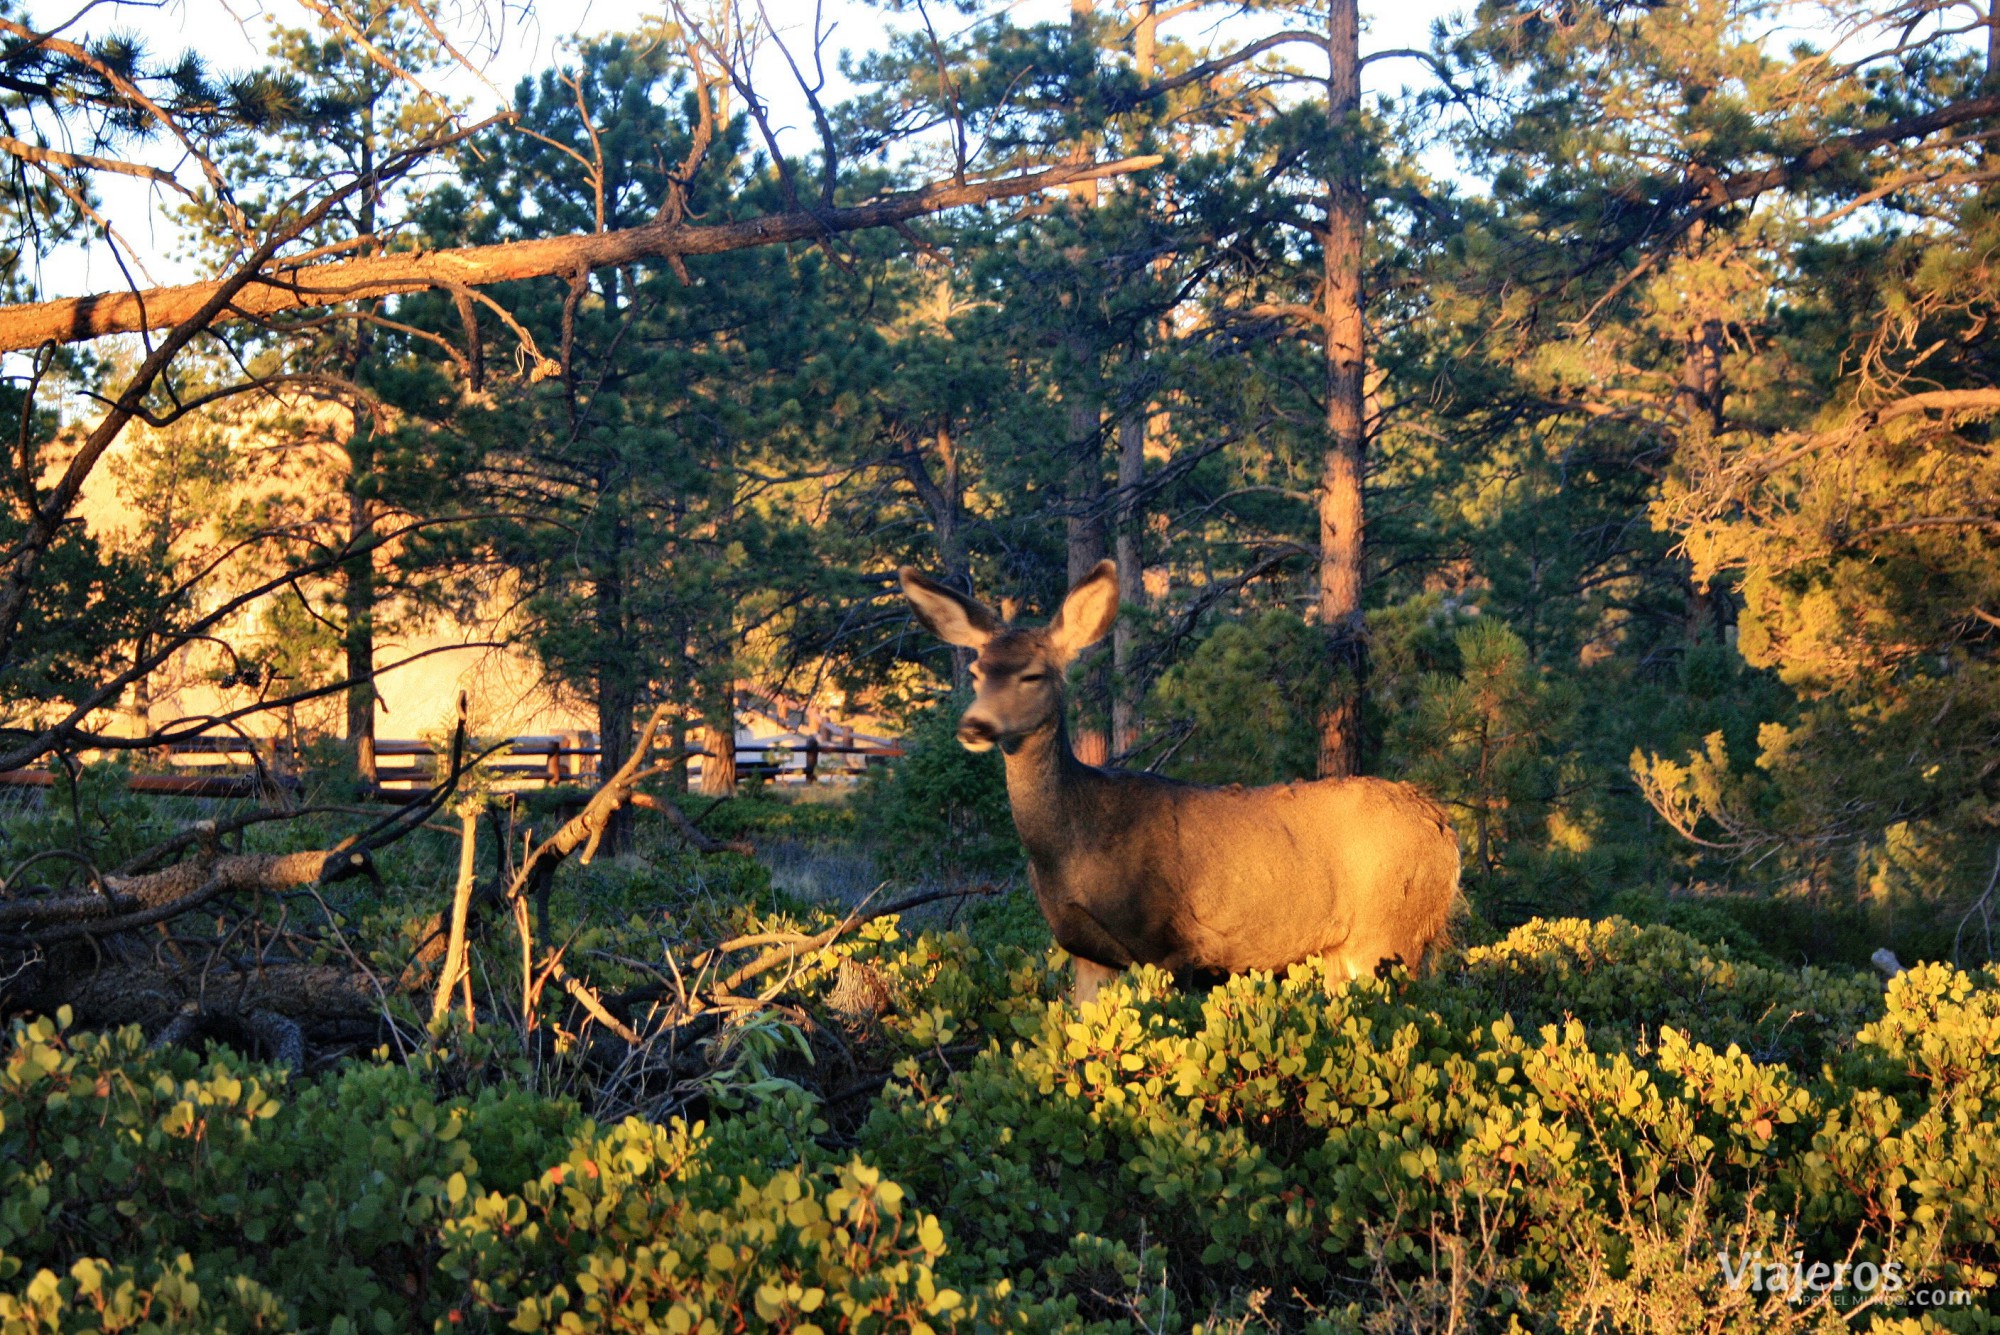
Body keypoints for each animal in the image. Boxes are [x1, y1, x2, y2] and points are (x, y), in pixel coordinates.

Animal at [904, 559, 1456, 999]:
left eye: (1033, 675)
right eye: (976, 672)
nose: (974, 727)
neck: (1073, 845)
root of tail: (1444, 830)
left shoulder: (1168, 943)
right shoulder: (1086, 951)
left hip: (1389, 930)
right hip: (1344, 948)